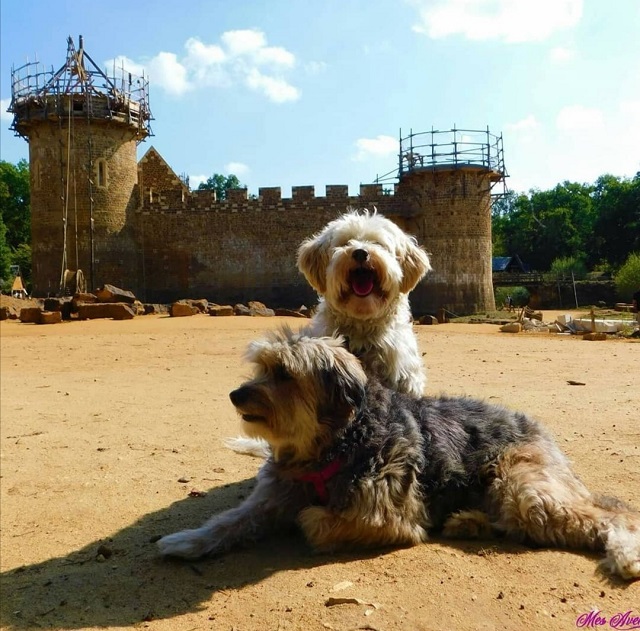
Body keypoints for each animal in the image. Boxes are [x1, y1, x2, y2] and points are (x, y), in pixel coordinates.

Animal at [159, 328, 640, 580]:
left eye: (284, 374)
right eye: (260, 367)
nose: (236, 395)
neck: (330, 446)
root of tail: (537, 427)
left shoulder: (388, 516)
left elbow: (312, 519)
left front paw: (307, 517)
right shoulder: (272, 495)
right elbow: (230, 520)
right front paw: (188, 540)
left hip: (523, 488)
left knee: (611, 516)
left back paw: (625, 554)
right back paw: (469, 521)